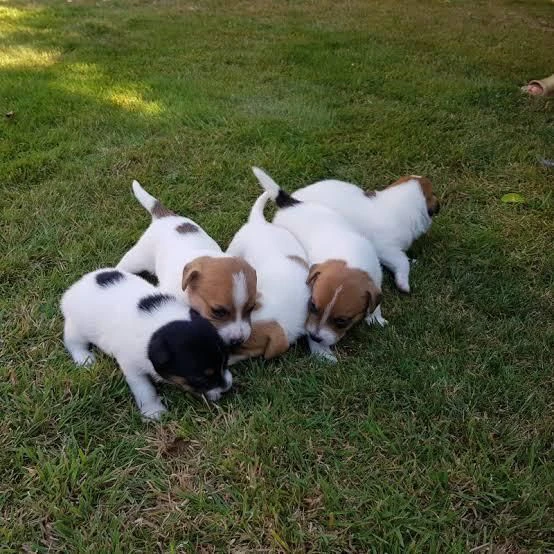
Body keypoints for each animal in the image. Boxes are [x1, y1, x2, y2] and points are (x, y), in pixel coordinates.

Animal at [60, 268, 231, 418]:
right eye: (200, 379)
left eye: (225, 363)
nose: (227, 388)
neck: (159, 326)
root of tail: (73, 290)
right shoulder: (132, 368)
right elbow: (145, 390)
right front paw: (153, 412)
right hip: (76, 327)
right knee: (73, 342)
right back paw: (84, 358)